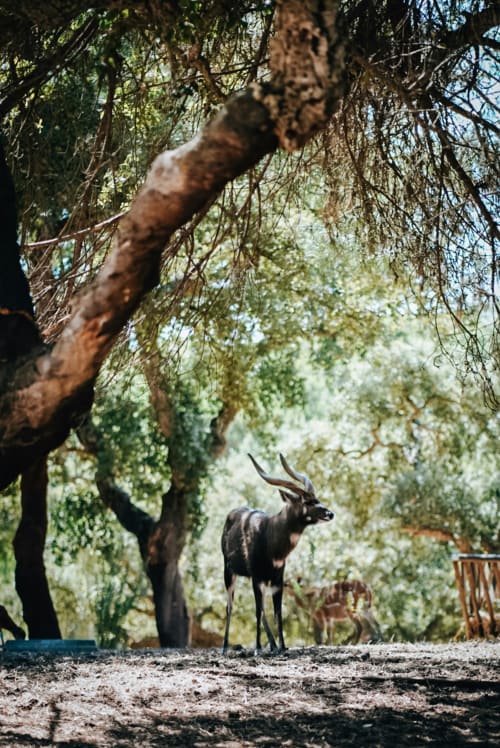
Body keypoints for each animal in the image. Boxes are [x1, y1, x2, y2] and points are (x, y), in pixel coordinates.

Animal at [221, 453, 334, 653]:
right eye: (307, 501)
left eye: (317, 498)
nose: (330, 514)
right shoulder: (257, 577)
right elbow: (258, 611)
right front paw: (258, 648)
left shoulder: (276, 579)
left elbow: (277, 612)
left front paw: (282, 646)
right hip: (229, 572)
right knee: (231, 605)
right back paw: (225, 647)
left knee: (261, 607)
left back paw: (272, 645)